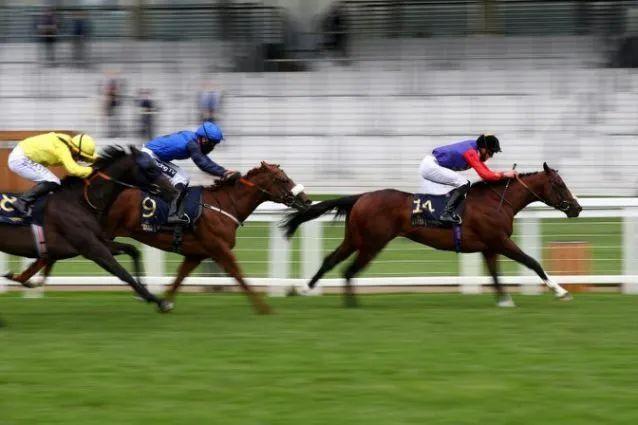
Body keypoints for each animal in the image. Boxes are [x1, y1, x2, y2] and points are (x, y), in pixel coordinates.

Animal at [1, 146, 178, 312]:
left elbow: (133, 250)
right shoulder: (92, 248)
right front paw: (159, 301)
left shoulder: (100, 241)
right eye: (150, 169)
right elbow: (122, 273)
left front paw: (144, 292)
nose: (174, 191)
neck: (81, 201)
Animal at [9, 161, 310, 314]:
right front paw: (263, 308)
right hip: (95, 234)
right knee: (52, 253)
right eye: (282, 179)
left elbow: (179, 277)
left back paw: (25, 278)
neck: (224, 204)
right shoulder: (219, 248)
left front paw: (164, 300)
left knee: (51, 253)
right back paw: (26, 278)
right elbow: (239, 275)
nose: (306, 200)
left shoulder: (197, 253)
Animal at [284, 162, 584, 304]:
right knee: (349, 270)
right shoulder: (499, 241)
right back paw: (349, 303)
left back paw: (305, 288)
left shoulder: (489, 246)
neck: (496, 201)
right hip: (372, 243)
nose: (577, 208)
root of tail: (361, 197)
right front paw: (561, 291)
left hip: (355, 238)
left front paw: (504, 301)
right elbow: (532, 262)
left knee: (331, 260)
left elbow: (495, 274)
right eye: (559, 184)